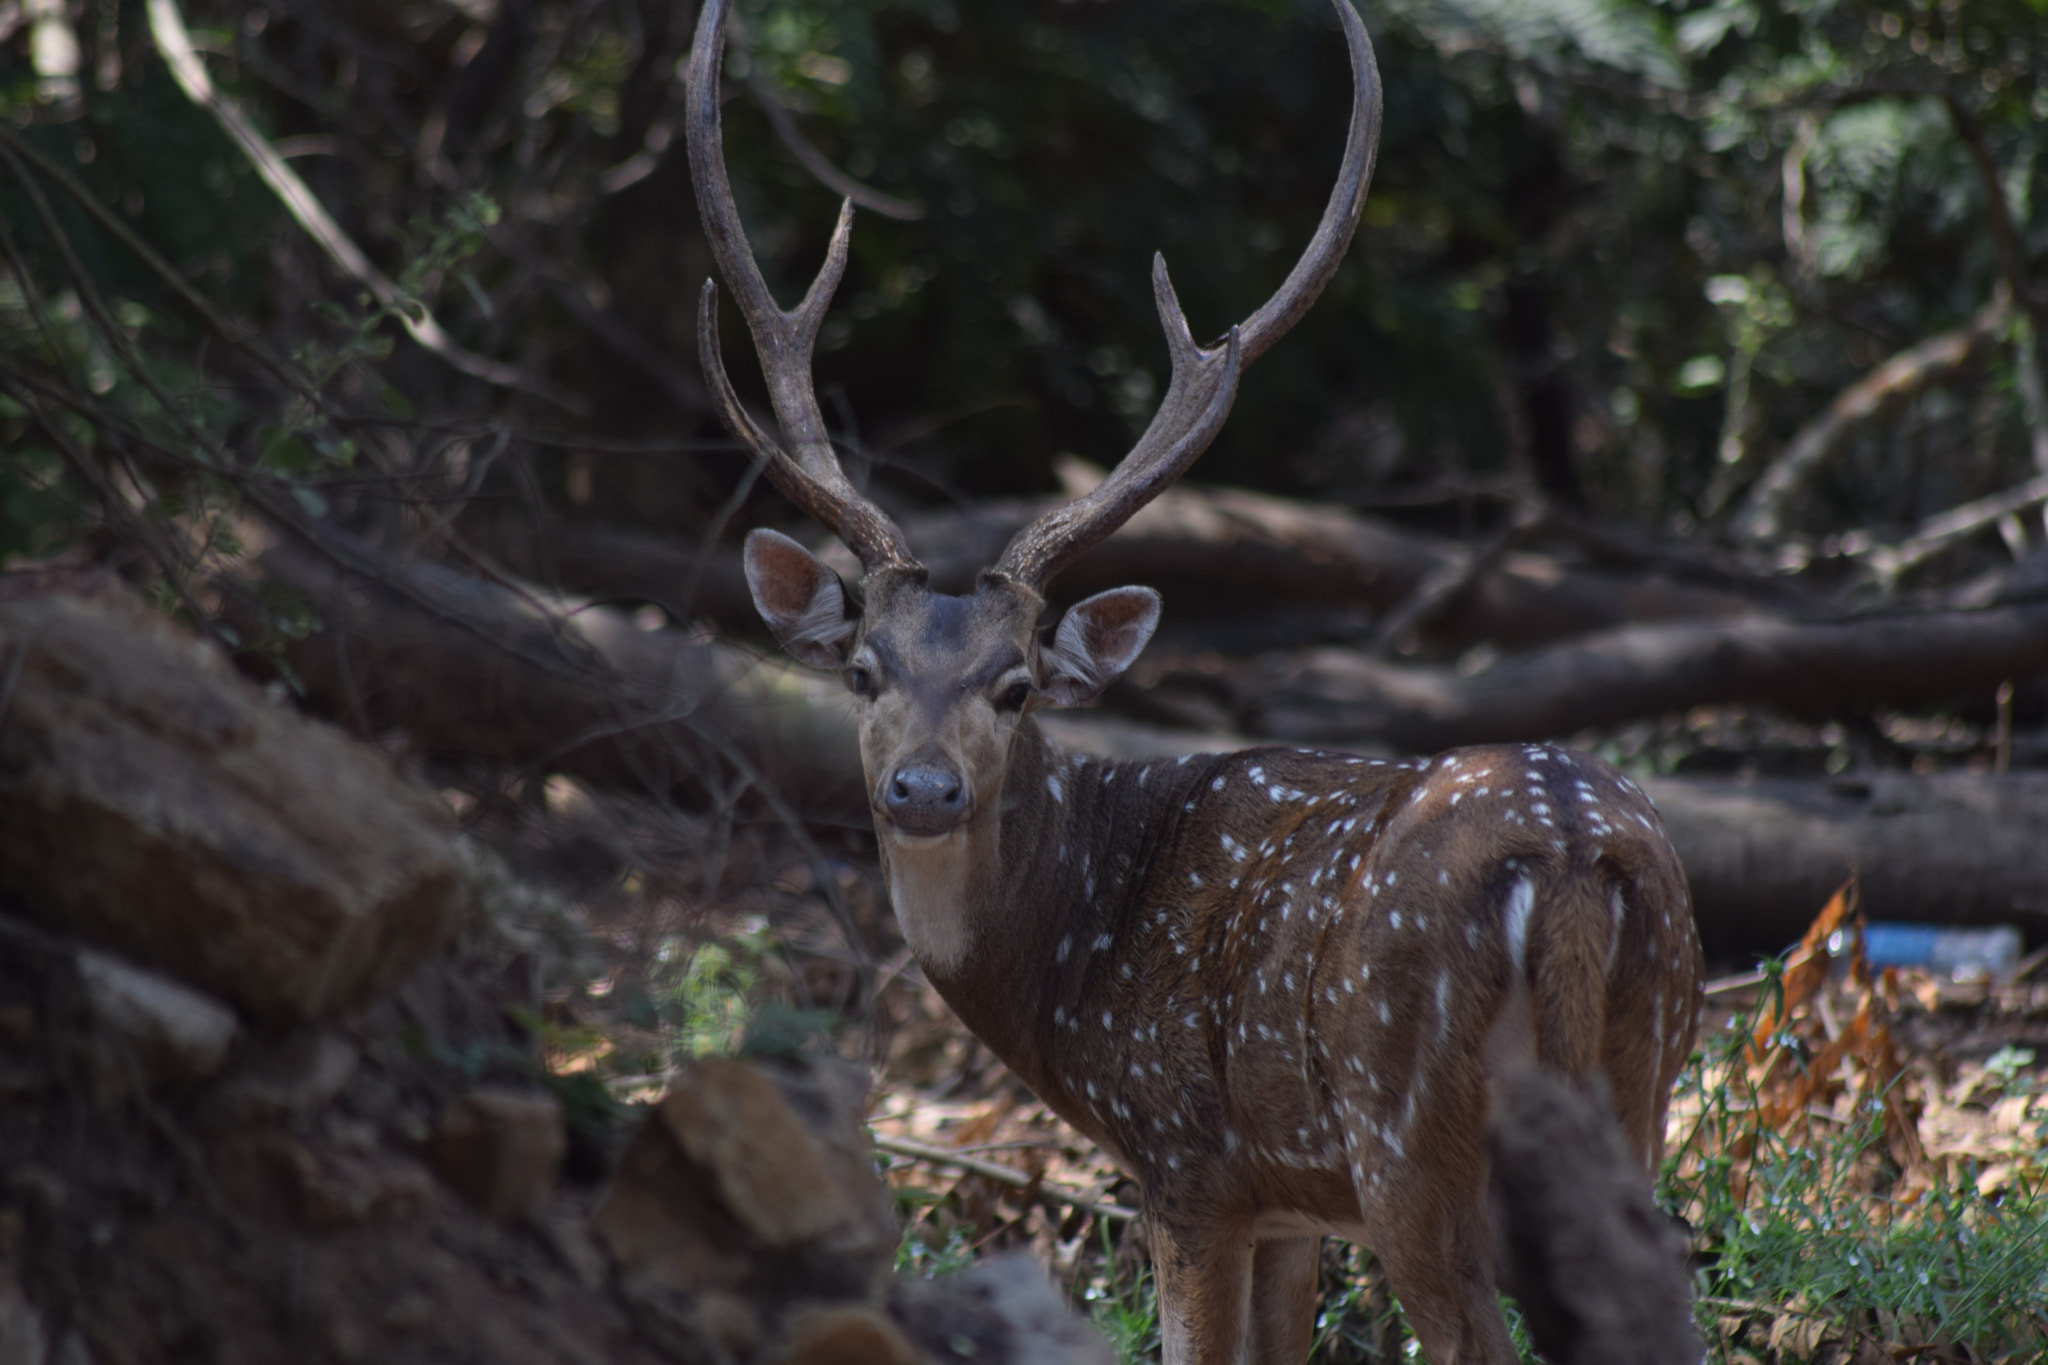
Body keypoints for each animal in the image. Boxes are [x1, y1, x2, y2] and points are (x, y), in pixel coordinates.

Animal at [679, 2, 1703, 1365]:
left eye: (1016, 686)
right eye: (860, 669)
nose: (923, 790)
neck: (1063, 970)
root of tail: (1577, 854)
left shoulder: (1185, 1162)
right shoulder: (1286, 1203)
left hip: (1409, 1133)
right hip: (1641, 1078)